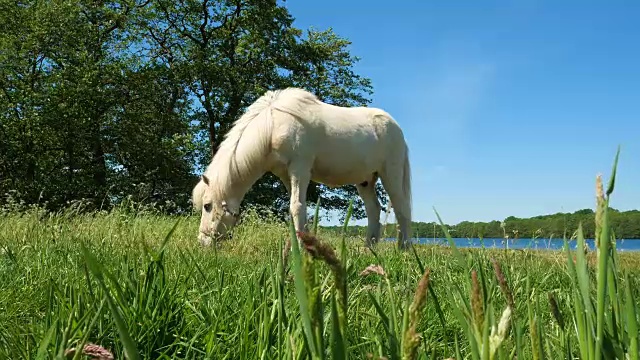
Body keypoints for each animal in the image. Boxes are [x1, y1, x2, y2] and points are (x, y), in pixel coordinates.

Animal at [190, 88, 412, 250]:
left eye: (207, 206)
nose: (202, 242)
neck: (274, 126)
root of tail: (397, 128)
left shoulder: (300, 169)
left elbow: (296, 207)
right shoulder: (286, 175)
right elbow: (296, 208)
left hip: (390, 173)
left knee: (401, 208)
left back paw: (403, 249)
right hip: (365, 180)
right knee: (373, 209)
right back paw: (368, 249)